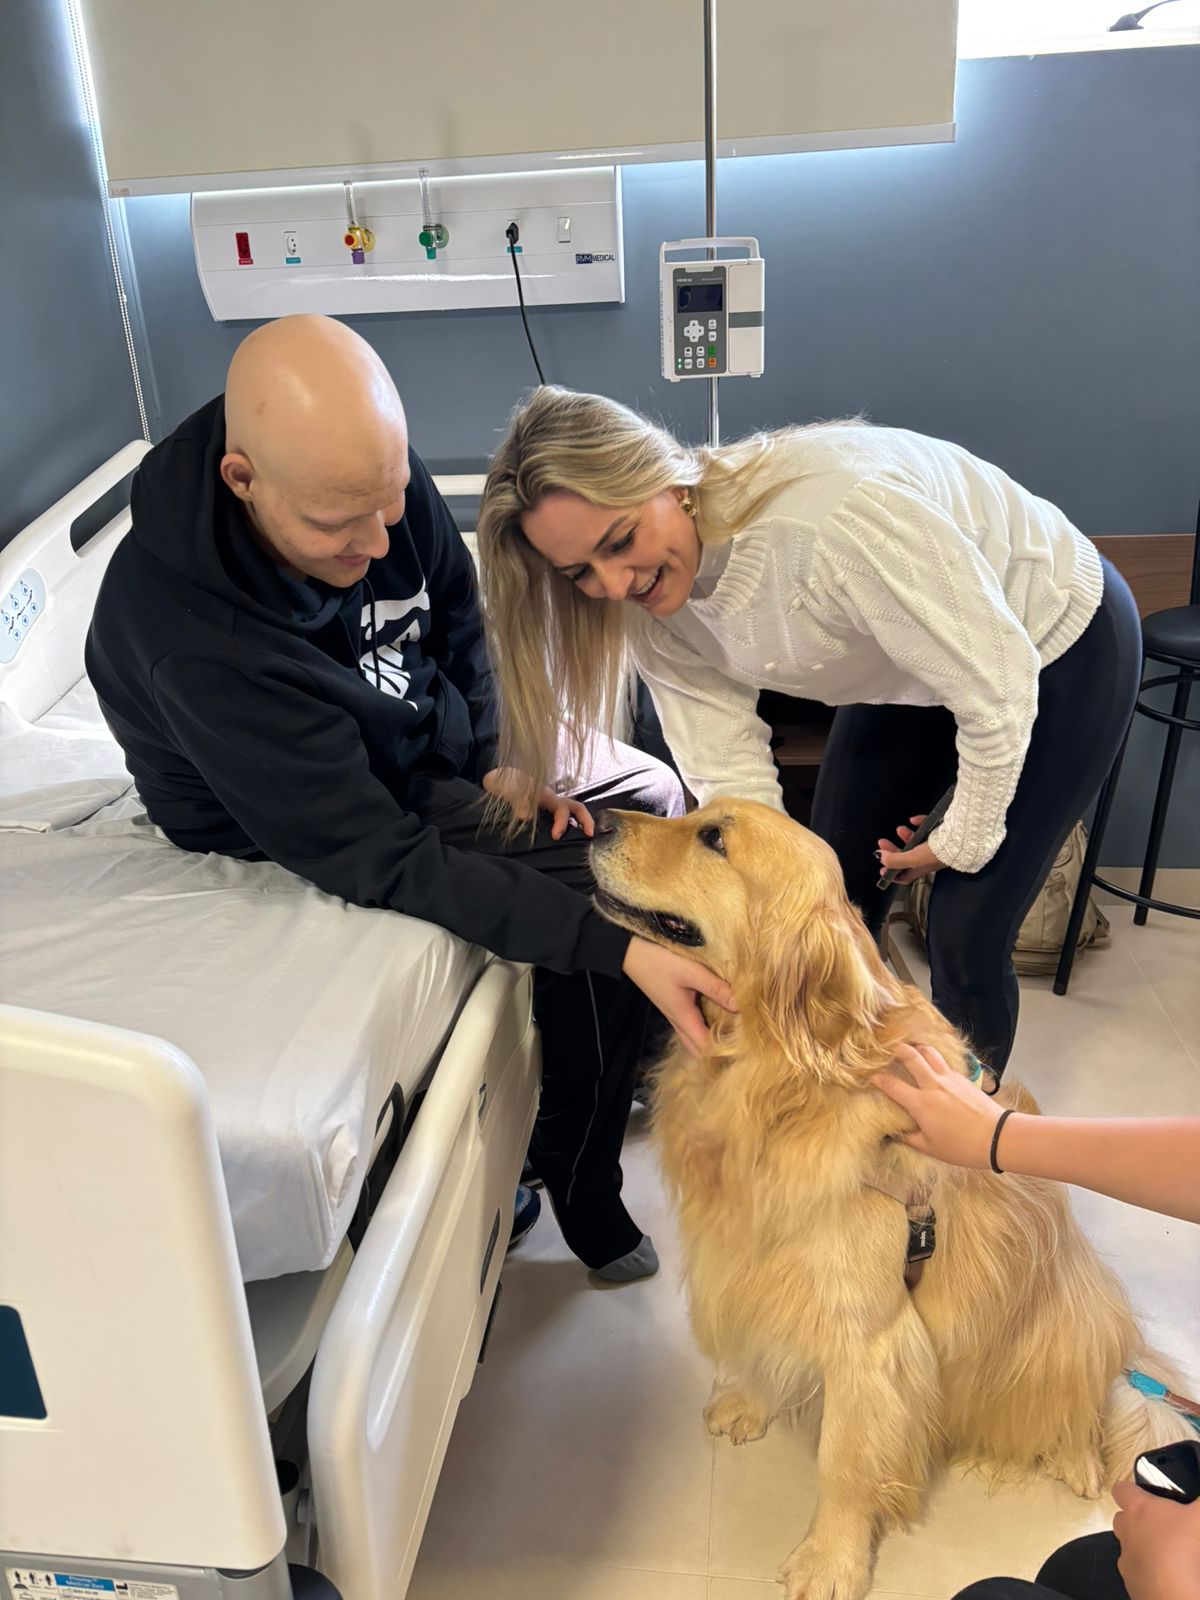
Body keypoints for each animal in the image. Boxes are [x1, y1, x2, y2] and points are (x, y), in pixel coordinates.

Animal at [592, 806, 1184, 1600]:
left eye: (714, 838)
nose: (592, 819)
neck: (778, 1079)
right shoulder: (751, 1256)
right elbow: (758, 1338)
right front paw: (748, 1402)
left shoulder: (868, 1332)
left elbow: (844, 1460)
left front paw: (830, 1558)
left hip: (1068, 1326)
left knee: (1085, 1405)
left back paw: (1076, 1457)